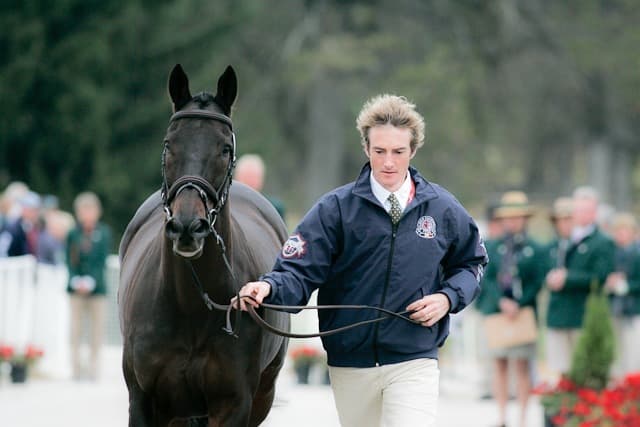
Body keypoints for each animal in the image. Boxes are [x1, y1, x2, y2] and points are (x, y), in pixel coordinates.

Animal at [118, 64, 290, 427]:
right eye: (169, 144)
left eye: (224, 148)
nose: (187, 227)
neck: (191, 304)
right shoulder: (143, 401)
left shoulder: (234, 404)